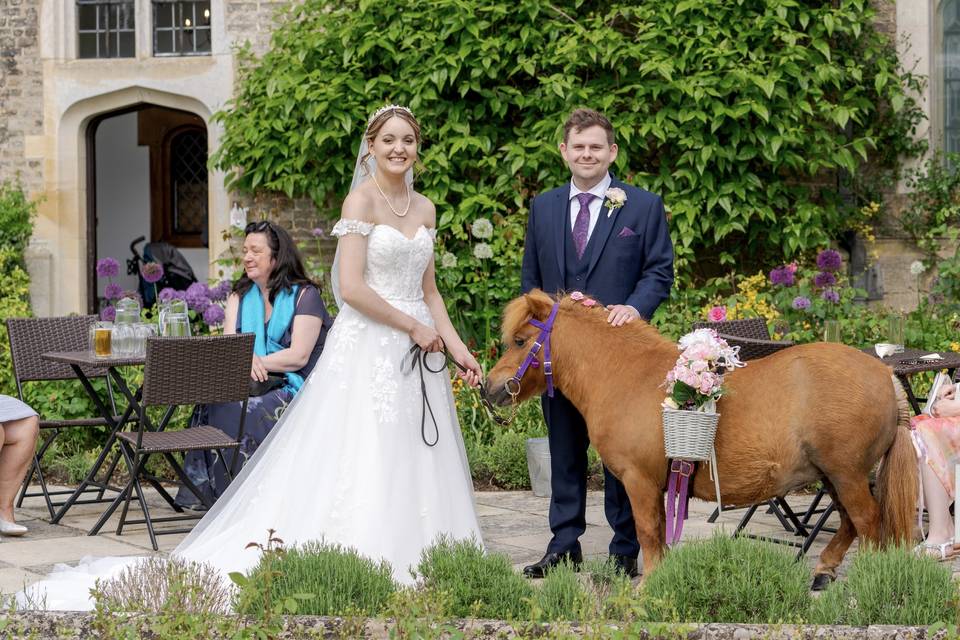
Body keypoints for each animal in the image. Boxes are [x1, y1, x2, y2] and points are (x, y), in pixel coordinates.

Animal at [488, 292, 916, 588]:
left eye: (521, 341)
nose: (488, 387)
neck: (627, 375)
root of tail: (884, 374)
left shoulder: (639, 481)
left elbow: (647, 532)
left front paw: (648, 585)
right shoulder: (657, 484)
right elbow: (658, 533)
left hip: (846, 474)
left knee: (868, 521)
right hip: (833, 476)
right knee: (849, 523)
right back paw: (824, 570)